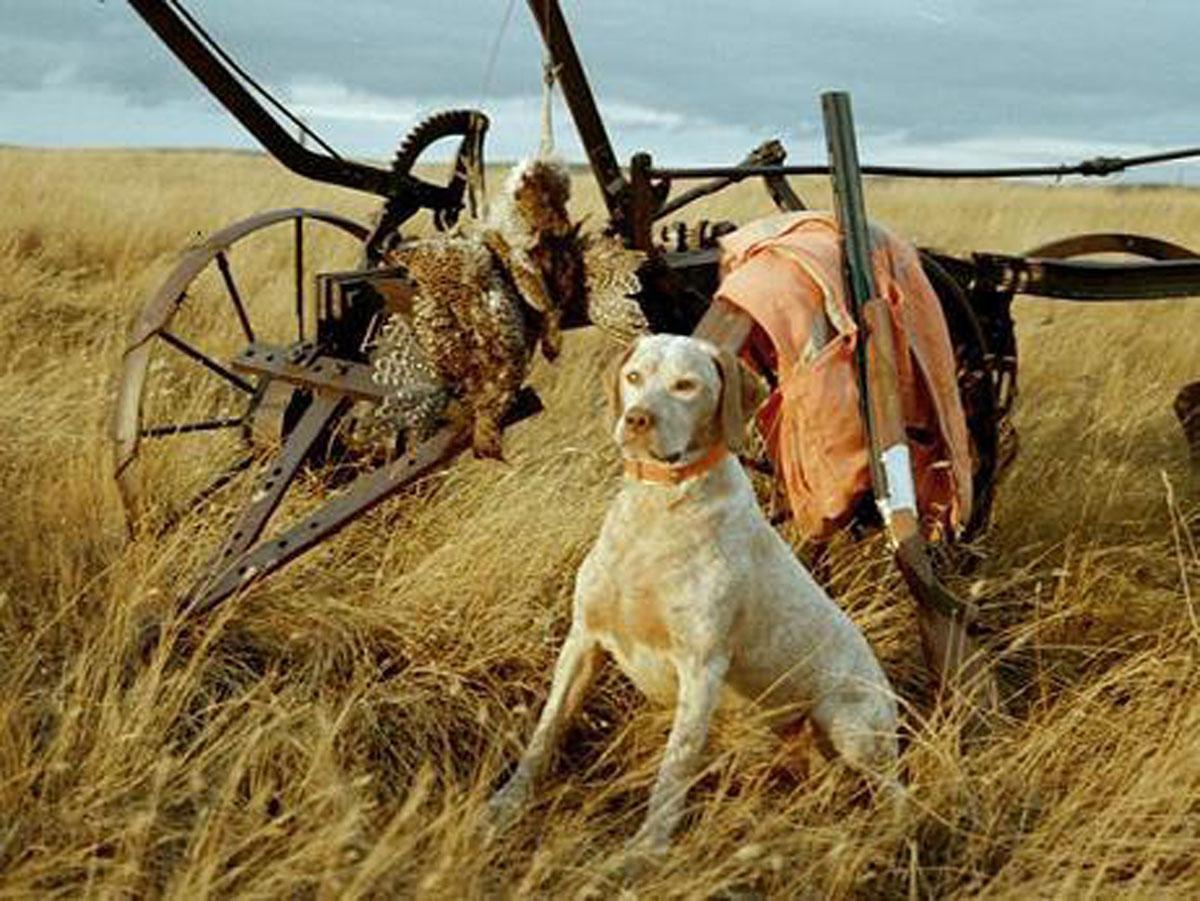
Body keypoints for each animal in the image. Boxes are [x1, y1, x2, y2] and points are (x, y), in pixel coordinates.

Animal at [487, 335, 902, 854]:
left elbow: (673, 769)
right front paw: (507, 804)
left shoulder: (701, 667)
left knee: (895, 790)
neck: (658, 508)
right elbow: (546, 731)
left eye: (685, 386)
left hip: (848, 720)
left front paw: (644, 852)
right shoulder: (583, 639)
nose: (637, 419)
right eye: (634, 377)